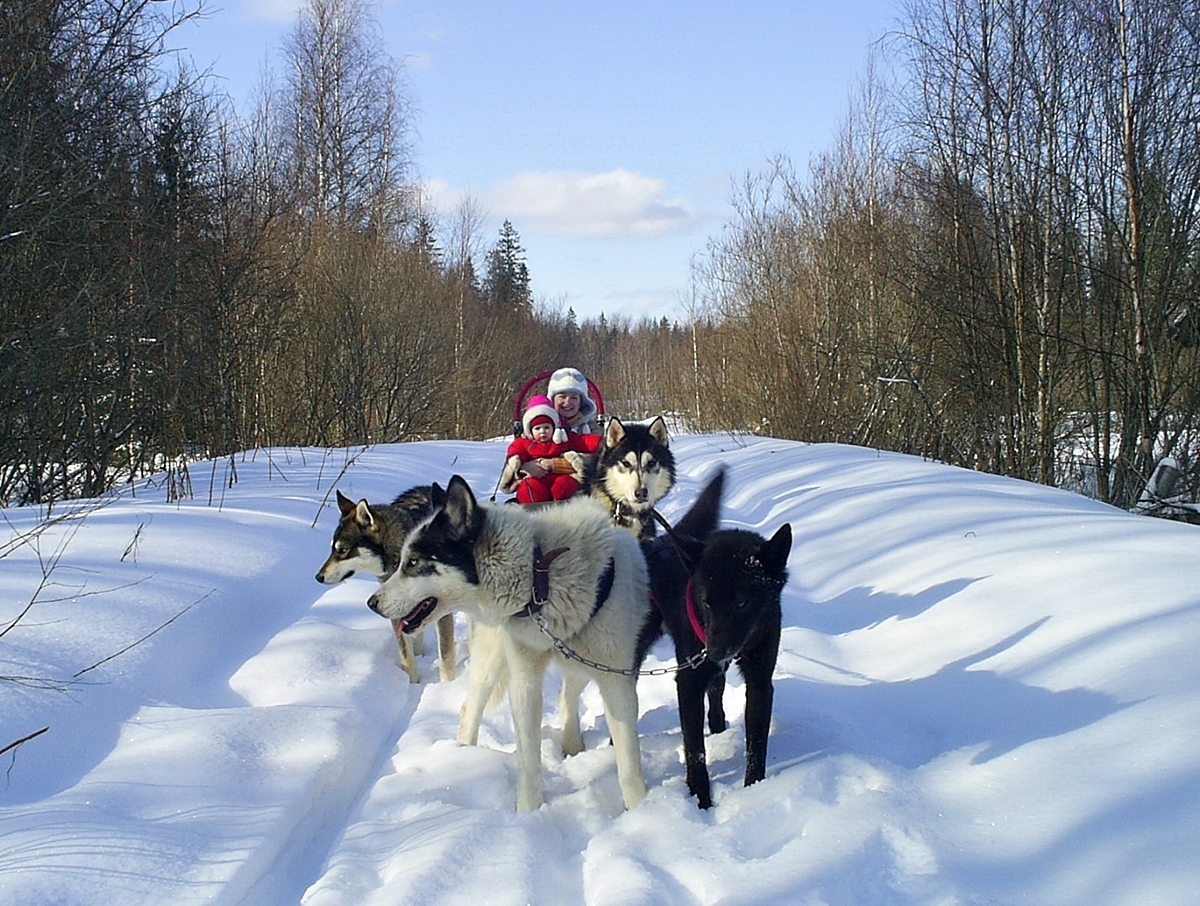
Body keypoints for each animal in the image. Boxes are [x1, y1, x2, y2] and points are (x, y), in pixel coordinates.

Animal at [643, 468, 792, 806]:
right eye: (706, 602)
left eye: (742, 602)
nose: (714, 651)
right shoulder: (688, 682)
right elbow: (695, 751)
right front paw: (700, 802)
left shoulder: (760, 680)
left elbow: (757, 746)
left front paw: (754, 791)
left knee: (718, 687)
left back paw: (719, 725)